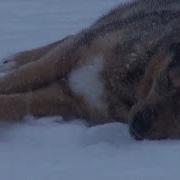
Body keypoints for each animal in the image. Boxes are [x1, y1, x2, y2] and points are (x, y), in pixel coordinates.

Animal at [0, 0, 180, 139]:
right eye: (170, 80)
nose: (140, 126)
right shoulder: (72, 53)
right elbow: (23, 76)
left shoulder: (70, 101)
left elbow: (19, 103)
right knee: (70, 37)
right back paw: (12, 60)